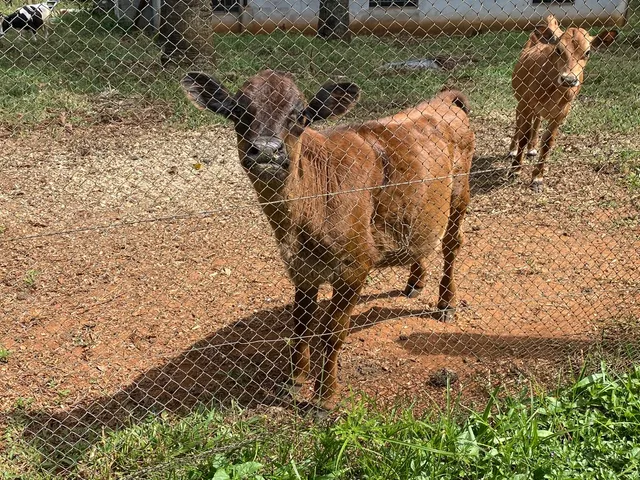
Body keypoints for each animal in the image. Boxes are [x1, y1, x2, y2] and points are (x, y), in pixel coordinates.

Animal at [181, 70, 475, 409]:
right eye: (239, 112)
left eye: (300, 116)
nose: (267, 150)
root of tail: (443, 99)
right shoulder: (302, 269)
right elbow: (299, 325)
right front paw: (294, 381)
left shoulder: (355, 266)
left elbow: (332, 332)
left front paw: (324, 398)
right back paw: (414, 282)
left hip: (460, 193)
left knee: (451, 245)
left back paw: (446, 304)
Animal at [508, 22, 617, 192]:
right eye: (559, 50)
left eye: (587, 52)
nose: (569, 79)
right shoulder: (526, 104)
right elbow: (523, 137)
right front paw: (515, 170)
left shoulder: (561, 113)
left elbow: (548, 143)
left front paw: (537, 178)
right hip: (520, 101)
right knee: (519, 123)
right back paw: (513, 149)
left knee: (537, 120)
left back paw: (532, 148)